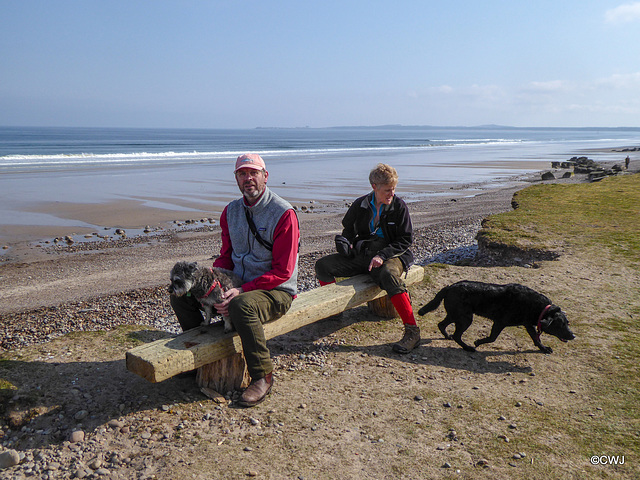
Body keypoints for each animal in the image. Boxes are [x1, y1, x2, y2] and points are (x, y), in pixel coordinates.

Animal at [418, 282, 576, 352]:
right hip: (465, 318)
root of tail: (449, 286)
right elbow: (492, 338)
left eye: (567, 323)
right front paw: (478, 342)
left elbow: (536, 338)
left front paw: (543, 348)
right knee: (457, 335)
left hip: (456, 315)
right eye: (561, 325)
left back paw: (447, 336)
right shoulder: (500, 322)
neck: (539, 308)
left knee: (441, 324)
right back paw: (468, 347)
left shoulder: (528, 324)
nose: (573, 336)